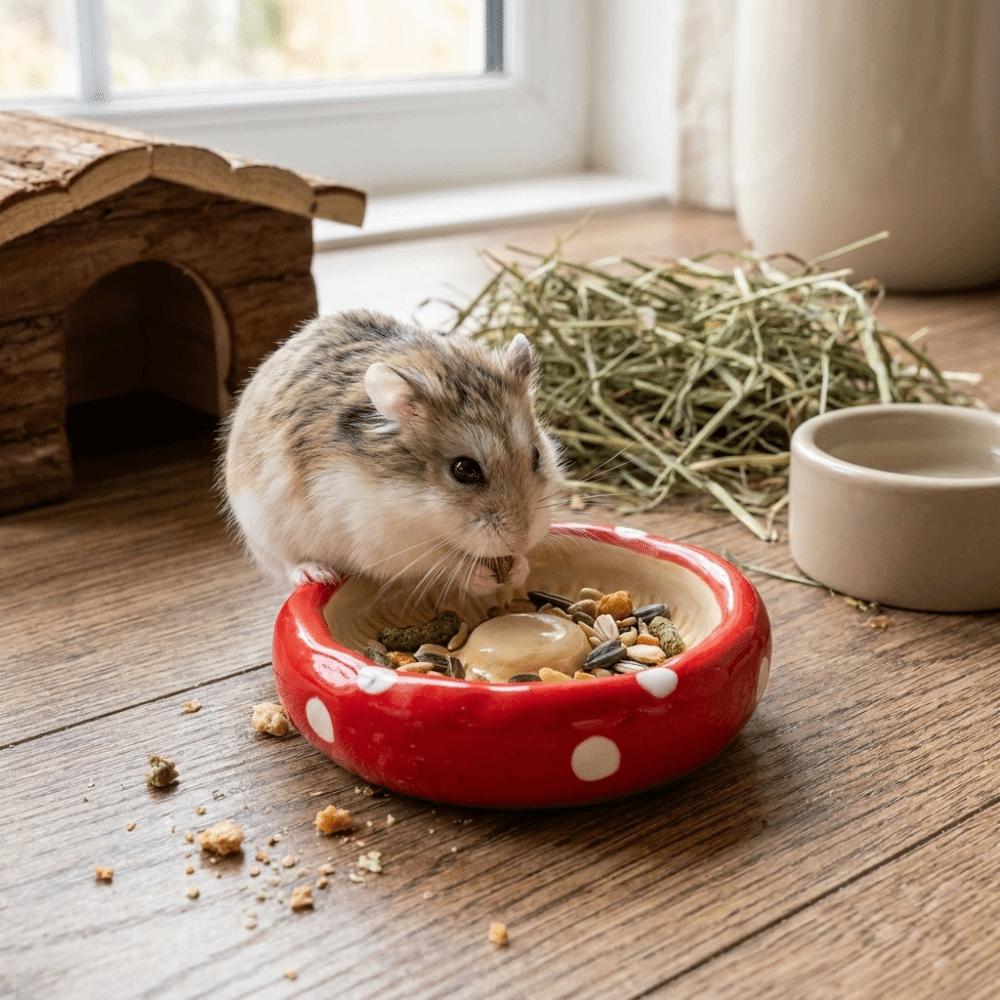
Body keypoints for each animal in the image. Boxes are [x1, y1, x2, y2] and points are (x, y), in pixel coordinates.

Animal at [222, 309, 565, 596]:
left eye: (536, 456)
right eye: (464, 469)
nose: (522, 537)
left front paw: (520, 567)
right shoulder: (386, 544)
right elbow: (443, 562)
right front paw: (480, 577)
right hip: (264, 532)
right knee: (286, 564)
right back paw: (316, 574)